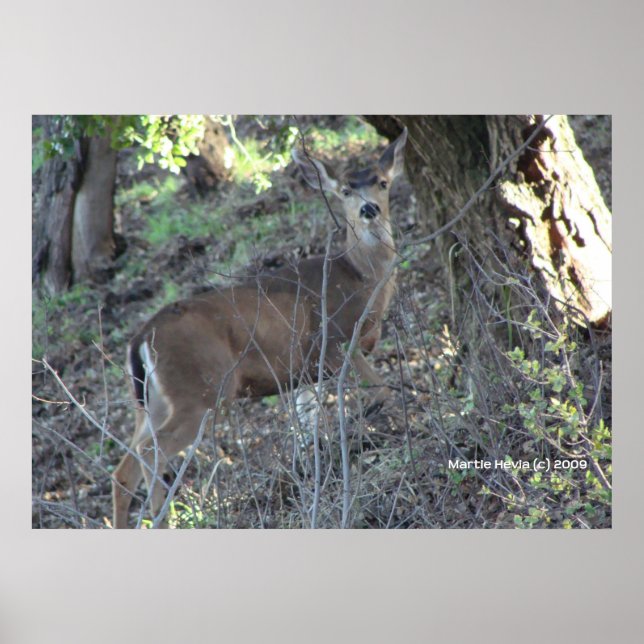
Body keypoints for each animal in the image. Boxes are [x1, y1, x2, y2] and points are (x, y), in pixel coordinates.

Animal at [112, 127, 408, 528]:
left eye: (381, 182)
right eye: (345, 189)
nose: (368, 209)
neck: (361, 279)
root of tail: (141, 339)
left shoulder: (303, 372)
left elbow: (307, 427)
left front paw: (312, 471)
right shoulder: (331, 340)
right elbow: (382, 390)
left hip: (149, 401)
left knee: (123, 469)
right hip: (200, 390)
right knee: (149, 450)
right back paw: (162, 514)